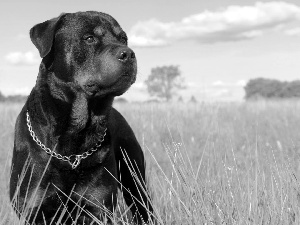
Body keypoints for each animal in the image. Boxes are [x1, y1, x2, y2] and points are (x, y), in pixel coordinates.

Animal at [9, 11, 152, 224]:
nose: (128, 53)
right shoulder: (34, 208)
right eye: (89, 38)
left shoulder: (97, 207)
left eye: (123, 39)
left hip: (135, 181)